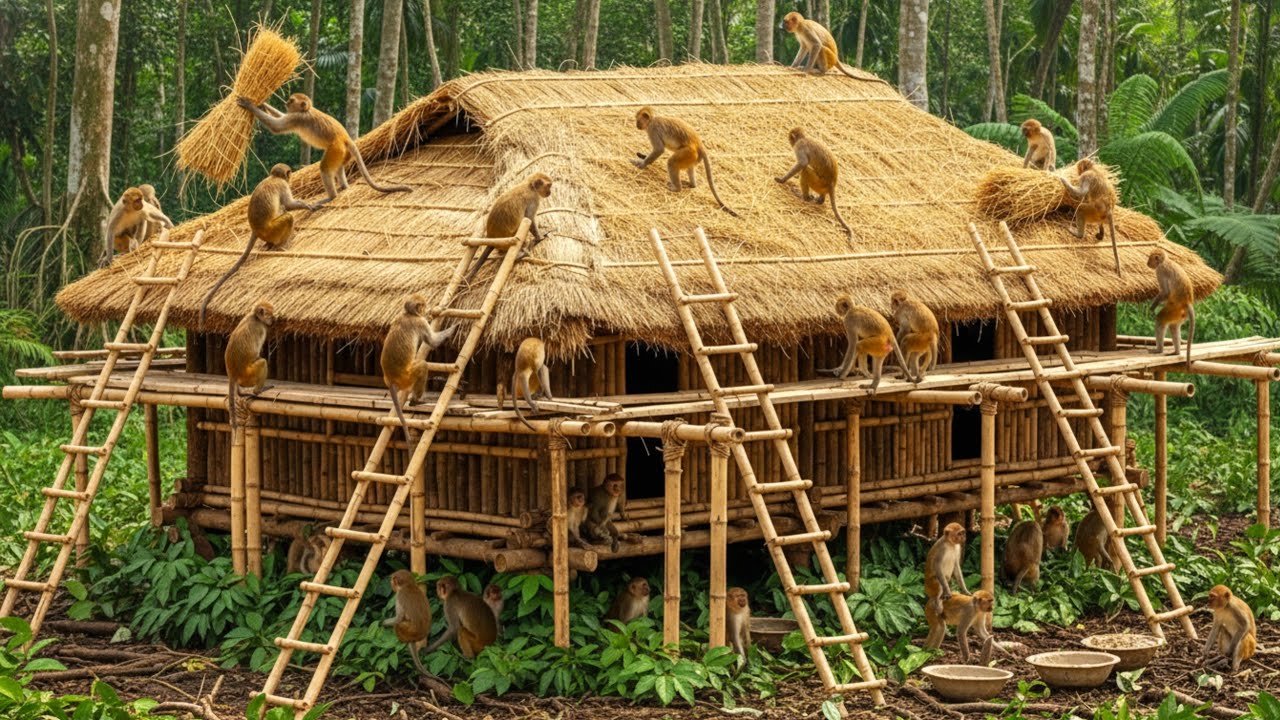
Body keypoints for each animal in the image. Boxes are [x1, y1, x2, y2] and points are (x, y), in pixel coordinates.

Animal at [199, 164, 316, 328]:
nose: (290, 177)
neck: (273, 177)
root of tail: (256, 230)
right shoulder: (283, 185)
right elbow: (289, 205)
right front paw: (308, 206)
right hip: (272, 230)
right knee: (286, 214)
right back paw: (280, 245)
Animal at [237, 93, 411, 205]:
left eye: (291, 100)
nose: (286, 102)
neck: (306, 110)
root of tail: (345, 138)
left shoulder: (297, 118)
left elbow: (276, 126)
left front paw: (249, 105)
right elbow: (279, 117)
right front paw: (263, 104)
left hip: (336, 149)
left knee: (325, 167)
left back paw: (331, 196)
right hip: (344, 153)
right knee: (338, 167)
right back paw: (343, 187)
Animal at [380, 294, 458, 442]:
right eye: (422, 305)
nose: (424, 309)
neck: (408, 314)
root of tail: (390, 379)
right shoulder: (419, 321)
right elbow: (432, 341)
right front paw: (455, 326)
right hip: (407, 377)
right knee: (422, 366)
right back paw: (415, 401)